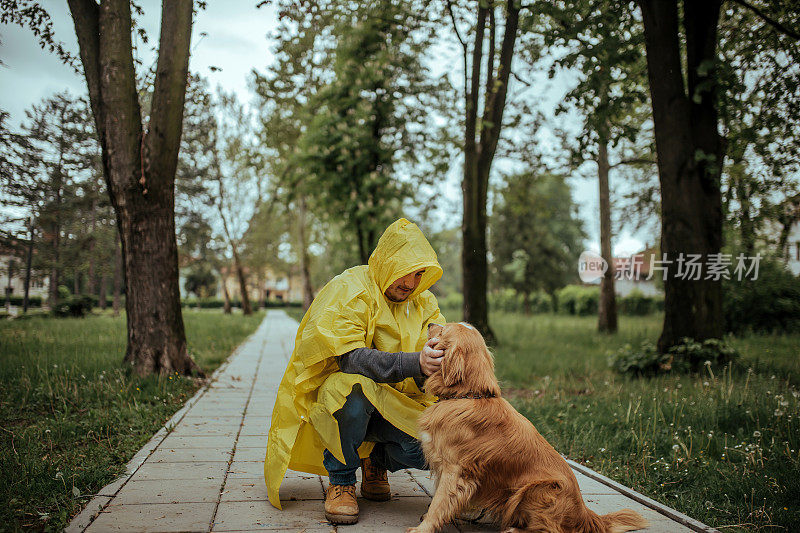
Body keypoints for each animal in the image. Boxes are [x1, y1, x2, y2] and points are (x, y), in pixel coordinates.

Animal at [406, 320, 648, 532]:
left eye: (443, 329)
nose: (430, 324)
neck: (468, 395)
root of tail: (585, 515)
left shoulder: (455, 469)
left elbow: (439, 501)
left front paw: (423, 528)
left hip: (537, 490)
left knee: (550, 529)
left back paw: (513, 530)